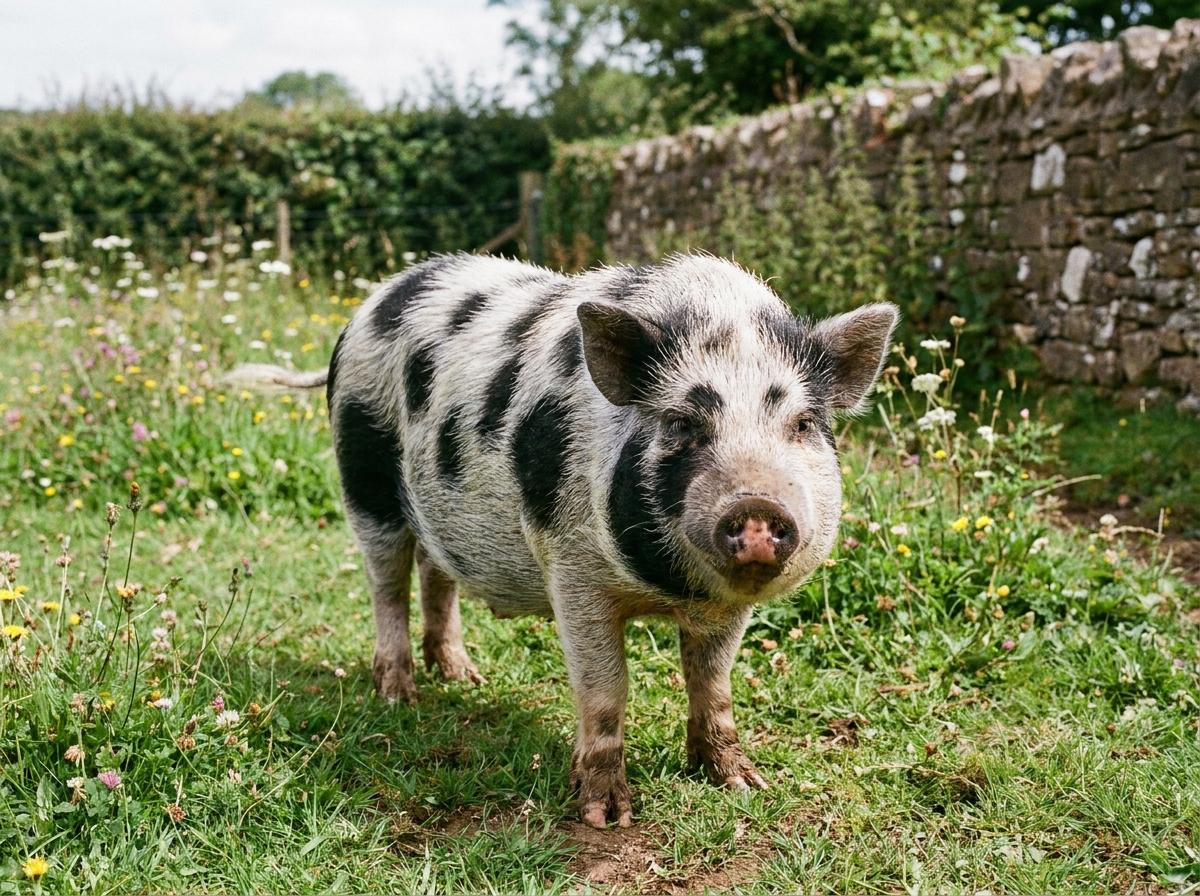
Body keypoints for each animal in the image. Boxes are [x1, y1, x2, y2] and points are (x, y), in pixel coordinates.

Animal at [232, 253, 897, 828]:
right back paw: (401, 696)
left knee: (436, 573)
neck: (666, 588)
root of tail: (370, 306)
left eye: (804, 424)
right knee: (386, 583)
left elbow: (713, 685)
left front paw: (744, 784)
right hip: (362, 469)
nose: (756, 507)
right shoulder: (572, 569)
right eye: (681, 423)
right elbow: (605, 690)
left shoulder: (724, 609)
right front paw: (607, 818)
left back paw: (464, 678)